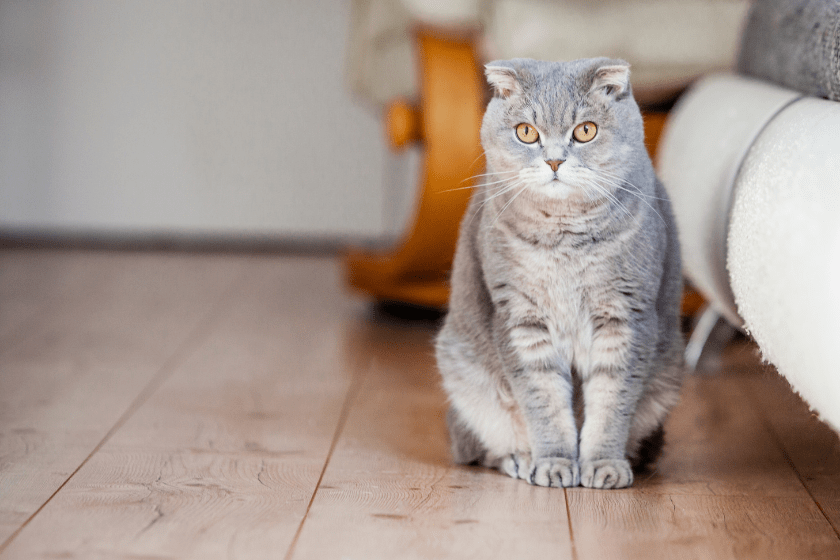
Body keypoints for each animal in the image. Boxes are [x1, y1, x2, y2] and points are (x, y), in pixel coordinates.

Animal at [436, 55, 684, 486]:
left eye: (585, 131)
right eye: (526, 132)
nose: (554, 160)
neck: (565, 239)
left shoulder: (626, 317)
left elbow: (610, 404)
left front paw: (603, 463)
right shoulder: (521, 319)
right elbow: (545, 403)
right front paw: (554, 462)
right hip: (466, 376)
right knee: (478, 446)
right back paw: (520, 458)